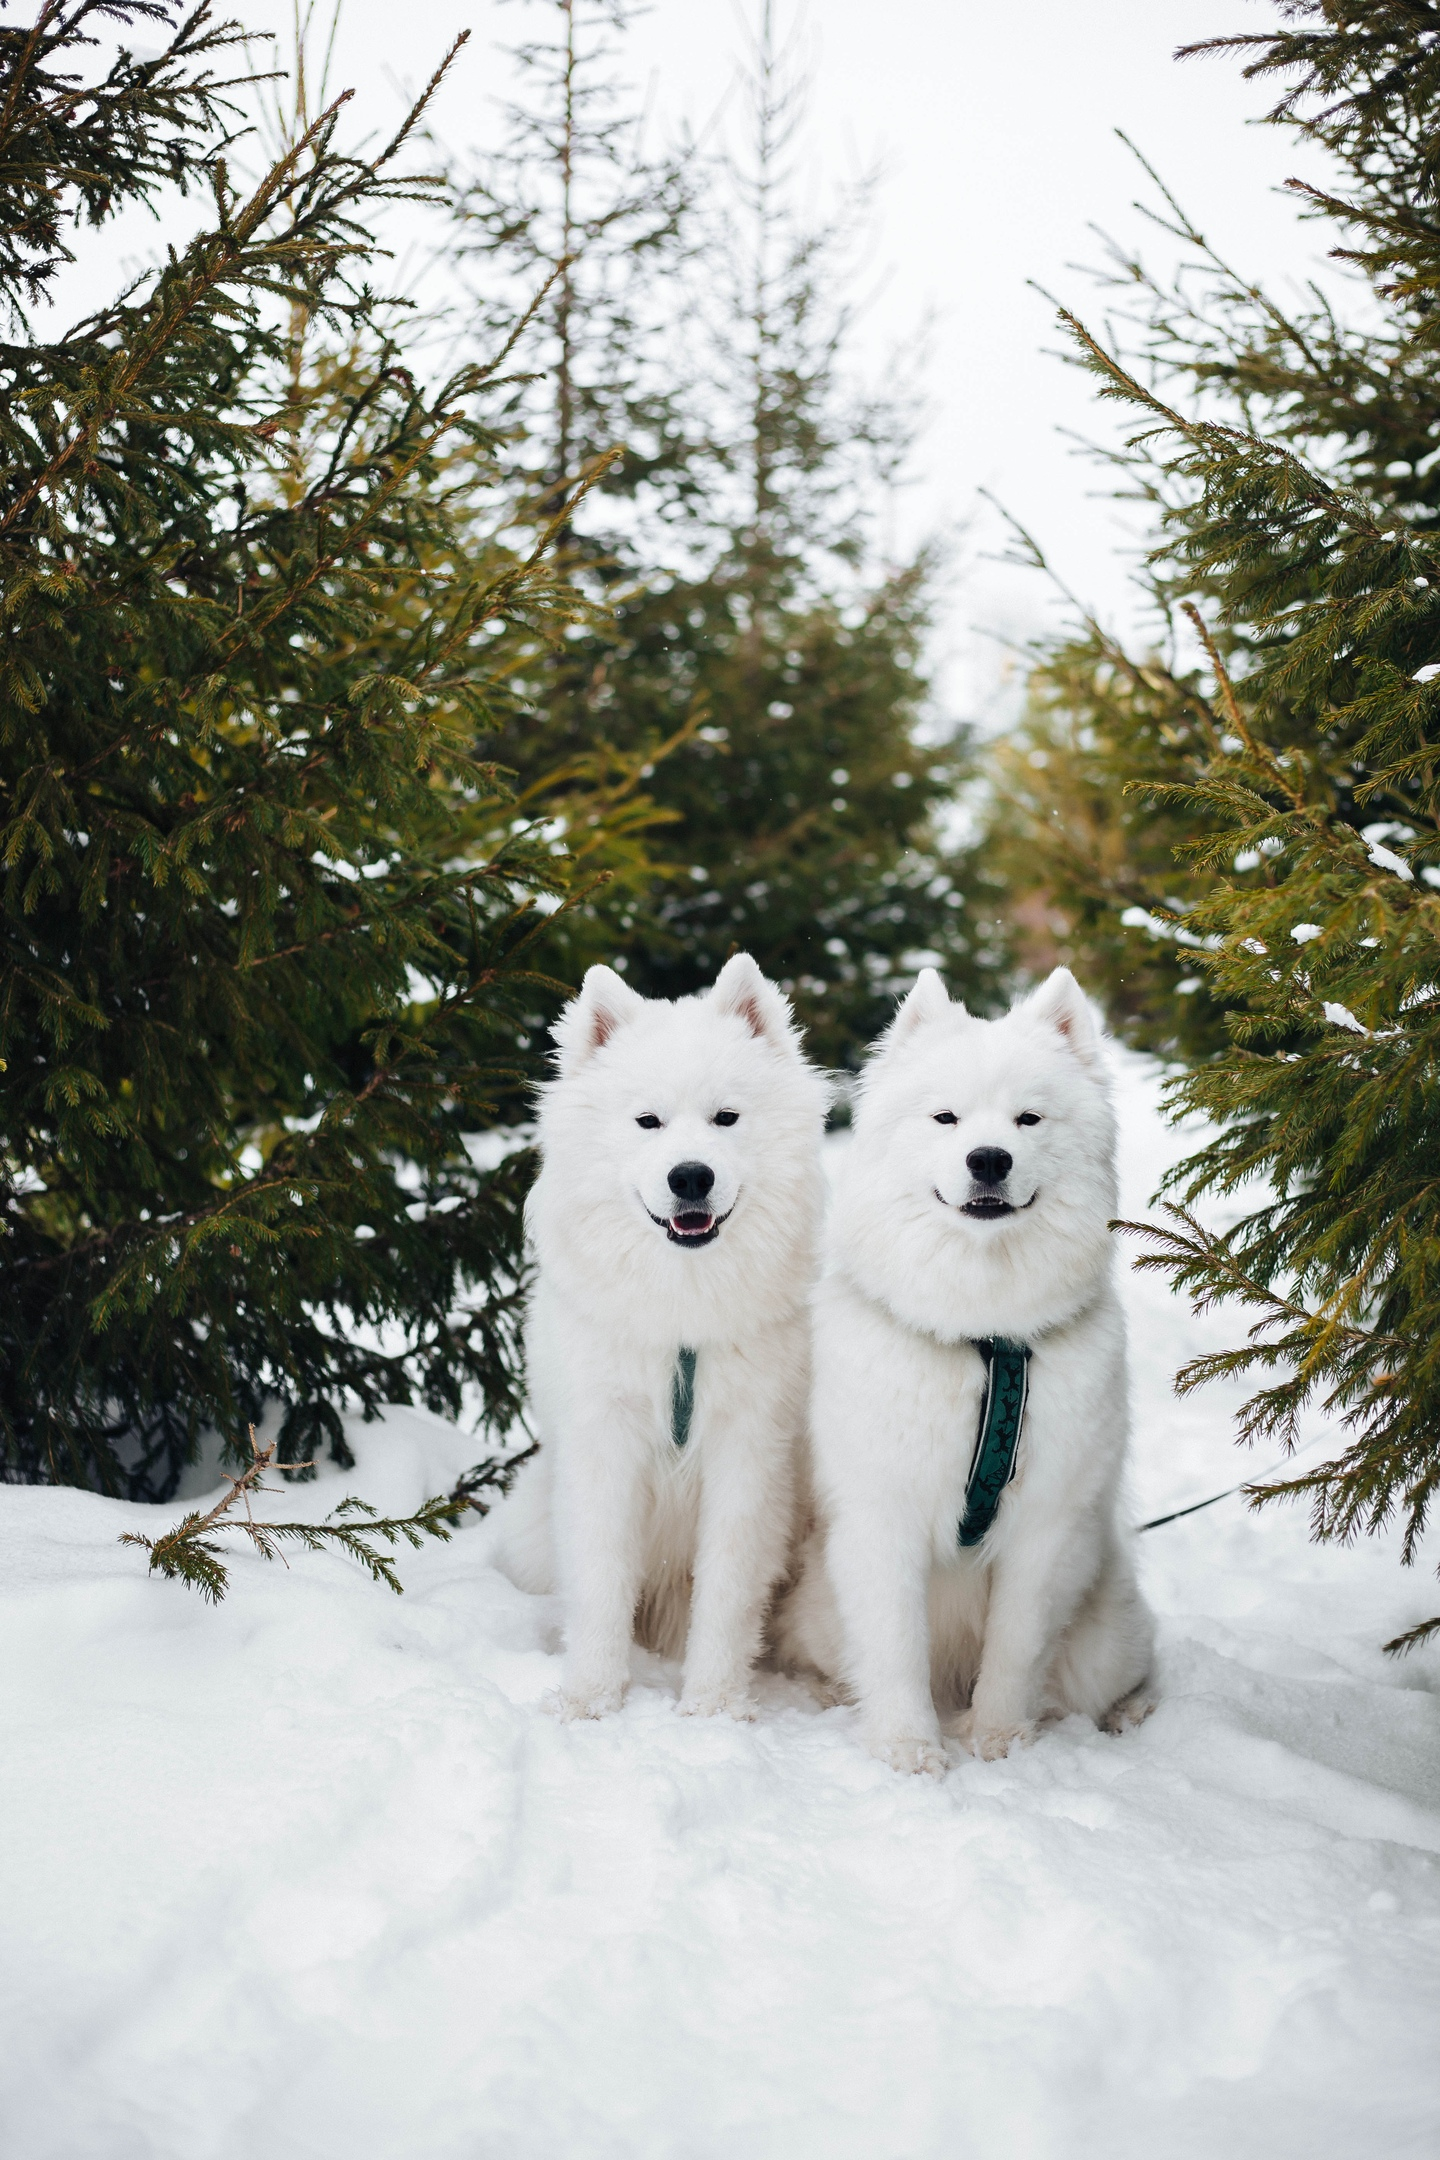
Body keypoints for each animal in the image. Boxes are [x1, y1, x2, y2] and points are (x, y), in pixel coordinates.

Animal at [498, 959, 829, 1719]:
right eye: (647, 1121)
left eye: (725, 1118)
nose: (691, 1176)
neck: (684, 1316)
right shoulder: (605, 1445)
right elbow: (600, 1584)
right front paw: (589, 1701)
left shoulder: (748, 1453)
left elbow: (727, 1596)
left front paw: (712, 1709)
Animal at [777, 967, 1157, 1771]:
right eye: (945, 1119)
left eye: (1028, 1120)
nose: (989, 1159)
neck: (984, 1340)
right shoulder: (880, 1518)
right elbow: (893, 1650)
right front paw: (908, 1750)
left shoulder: (1046, 1531)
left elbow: (1015, 1652)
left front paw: (998, 1743)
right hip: (820, 1603)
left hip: (1105, 1638)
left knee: (1119, 1678)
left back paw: (1124, 1715)